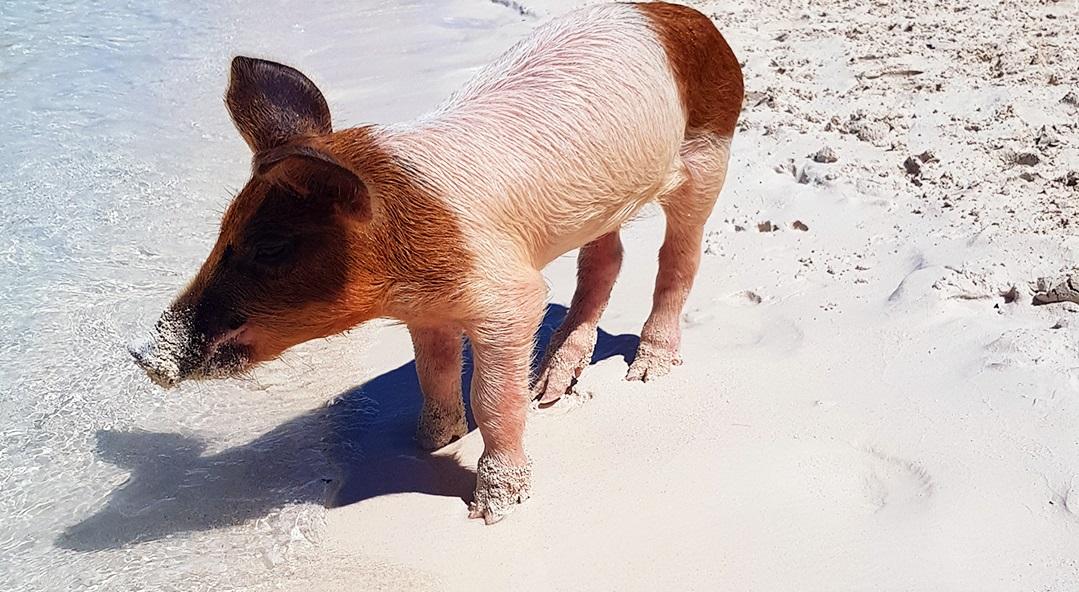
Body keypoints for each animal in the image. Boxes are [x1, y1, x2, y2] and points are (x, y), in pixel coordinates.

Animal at [131, 1, 743, 523]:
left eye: (271, 248)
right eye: (221, 233)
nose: (144, 354)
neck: (403, 272)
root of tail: (686, 17)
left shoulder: (509, 299)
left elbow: (492, 397)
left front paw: (494, 508)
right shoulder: (427, 312)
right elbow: (434, 372)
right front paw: (427, 441)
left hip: (710, 154)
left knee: (679, 257)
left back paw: (648, 370)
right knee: (607, 257)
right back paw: (550, 387)